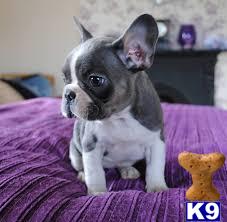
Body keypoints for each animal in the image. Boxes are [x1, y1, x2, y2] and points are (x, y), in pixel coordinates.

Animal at [61, 13, 168, 194]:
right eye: (65, 79)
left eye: (95, 80)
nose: (68, 94)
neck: (120, 116)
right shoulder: (91, 145)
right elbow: (95, 173)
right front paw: (97, 193)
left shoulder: (156, 141)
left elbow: (155, 168)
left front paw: (157, 188)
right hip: (74, 152)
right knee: (81, 165)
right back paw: (82, 174)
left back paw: (127, 169)